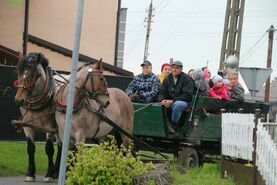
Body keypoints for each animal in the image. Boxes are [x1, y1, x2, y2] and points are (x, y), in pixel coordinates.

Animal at [14, 52, 61, 182]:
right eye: (18, 72)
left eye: (35, 74)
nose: (19, 100)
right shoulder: (27, 126)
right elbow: (30, 148)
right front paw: (30, 173)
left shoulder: (50, 126)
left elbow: (49, 149)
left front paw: (49, 174)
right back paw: (57, 172)